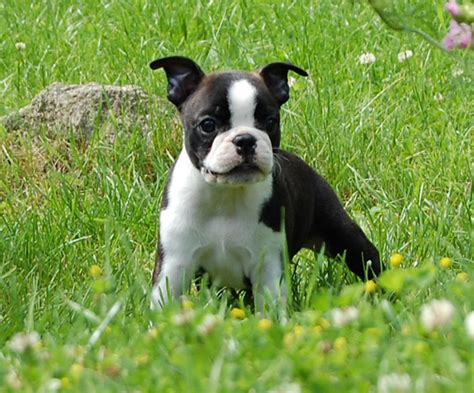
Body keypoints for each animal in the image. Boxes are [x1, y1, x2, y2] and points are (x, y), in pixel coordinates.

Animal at [150, 56, 380, 310]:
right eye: (208, 125)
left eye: (270, 121)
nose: (245, 139)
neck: (226, 195)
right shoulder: (174, 263)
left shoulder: (268, 266)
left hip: (341, 233)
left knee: (369, 259)